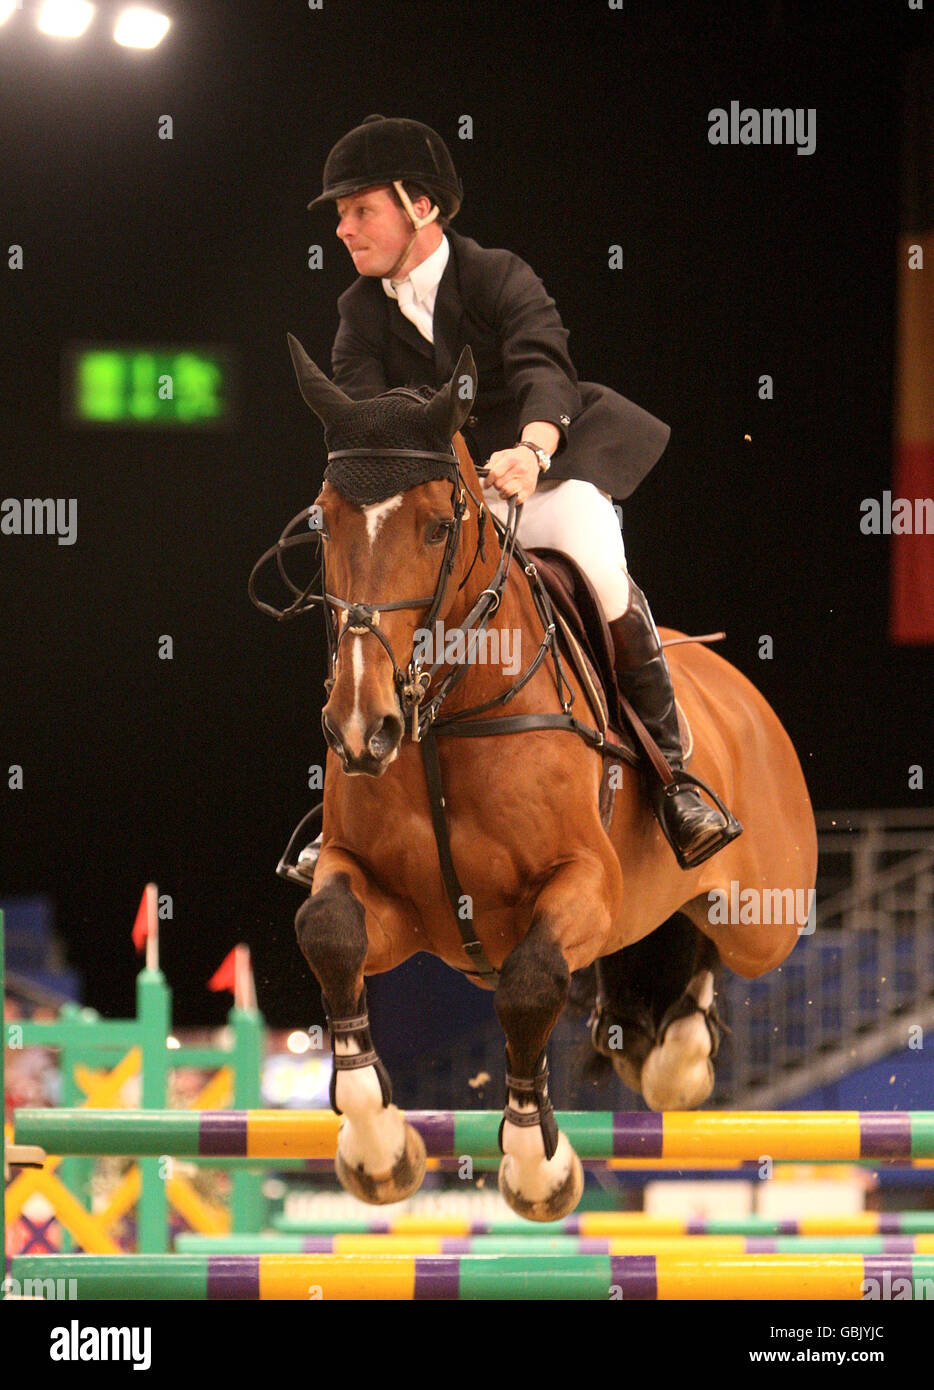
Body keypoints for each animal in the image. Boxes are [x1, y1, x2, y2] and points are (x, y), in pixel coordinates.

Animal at [251, 336, 811, 1228]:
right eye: (323, 523)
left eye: (436, 526)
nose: (361, 730)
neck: (440, 725)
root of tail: (732, 682)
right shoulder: (389, 902)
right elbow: (330, 932)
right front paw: (377, 1147)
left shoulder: (583, 886)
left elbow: (529, 984)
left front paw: (537, 1166)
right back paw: (658, 1048)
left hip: (763, 915)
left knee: (721, 936)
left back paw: (682, 1052)